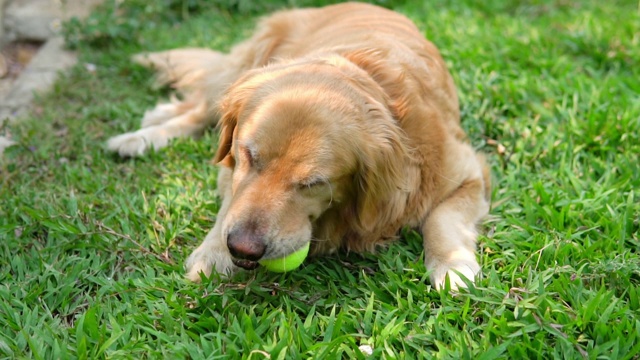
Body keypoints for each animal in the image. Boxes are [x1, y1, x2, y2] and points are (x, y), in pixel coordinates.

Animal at [107, 2, 492, 290]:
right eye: (248, 156)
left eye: (313, 184)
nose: (243, 248)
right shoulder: (230, 166)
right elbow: (230, 202)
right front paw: (212, 252)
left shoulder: (468, 172)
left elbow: (442, 218)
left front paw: (452, 265)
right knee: (202, 104)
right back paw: (143, 134)